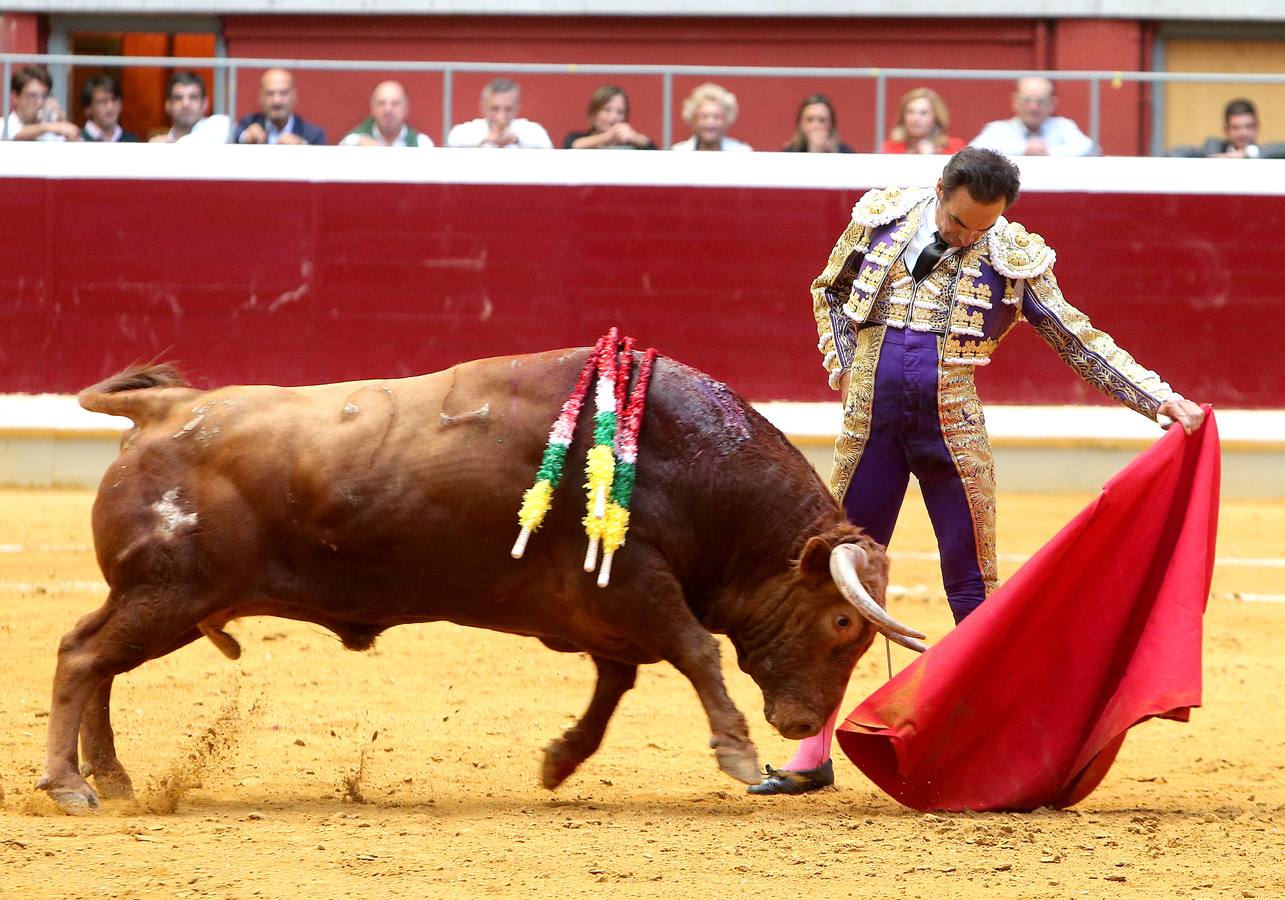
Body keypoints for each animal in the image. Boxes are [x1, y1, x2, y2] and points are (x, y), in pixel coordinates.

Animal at [37, 347, 925, 812]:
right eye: (843, 623)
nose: (801, 721)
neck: (689, 460)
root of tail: (163, 412)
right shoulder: (638, 586)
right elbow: (696, 653)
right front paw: (739, 758)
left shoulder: (604, 611)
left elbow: (615, 686)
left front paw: (559, 761)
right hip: (168, 595)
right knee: (83, 657)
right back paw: (69, 785)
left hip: (168, 602)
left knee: (99, 660)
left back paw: (111, 777)